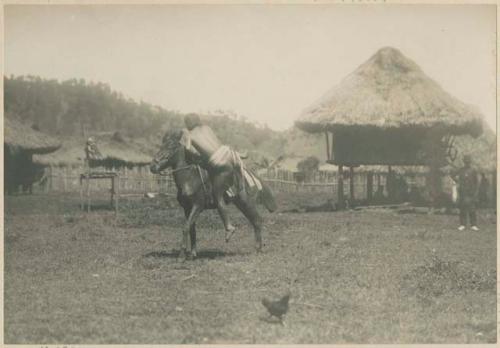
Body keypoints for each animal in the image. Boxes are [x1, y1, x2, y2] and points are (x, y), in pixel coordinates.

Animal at [149, 129, 278, 260]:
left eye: (171, 146)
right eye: (161, 145)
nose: (153, 166)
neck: (189, 178)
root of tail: (253, 178)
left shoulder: (197, 206)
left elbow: (185, 227)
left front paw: (181, 256)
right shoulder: (187, 208)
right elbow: (191, 229)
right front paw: (192, 254)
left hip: (247, 203)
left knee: (257, 221)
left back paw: (256, 248)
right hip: (241, 204)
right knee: (255, 221)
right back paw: (257, 248)